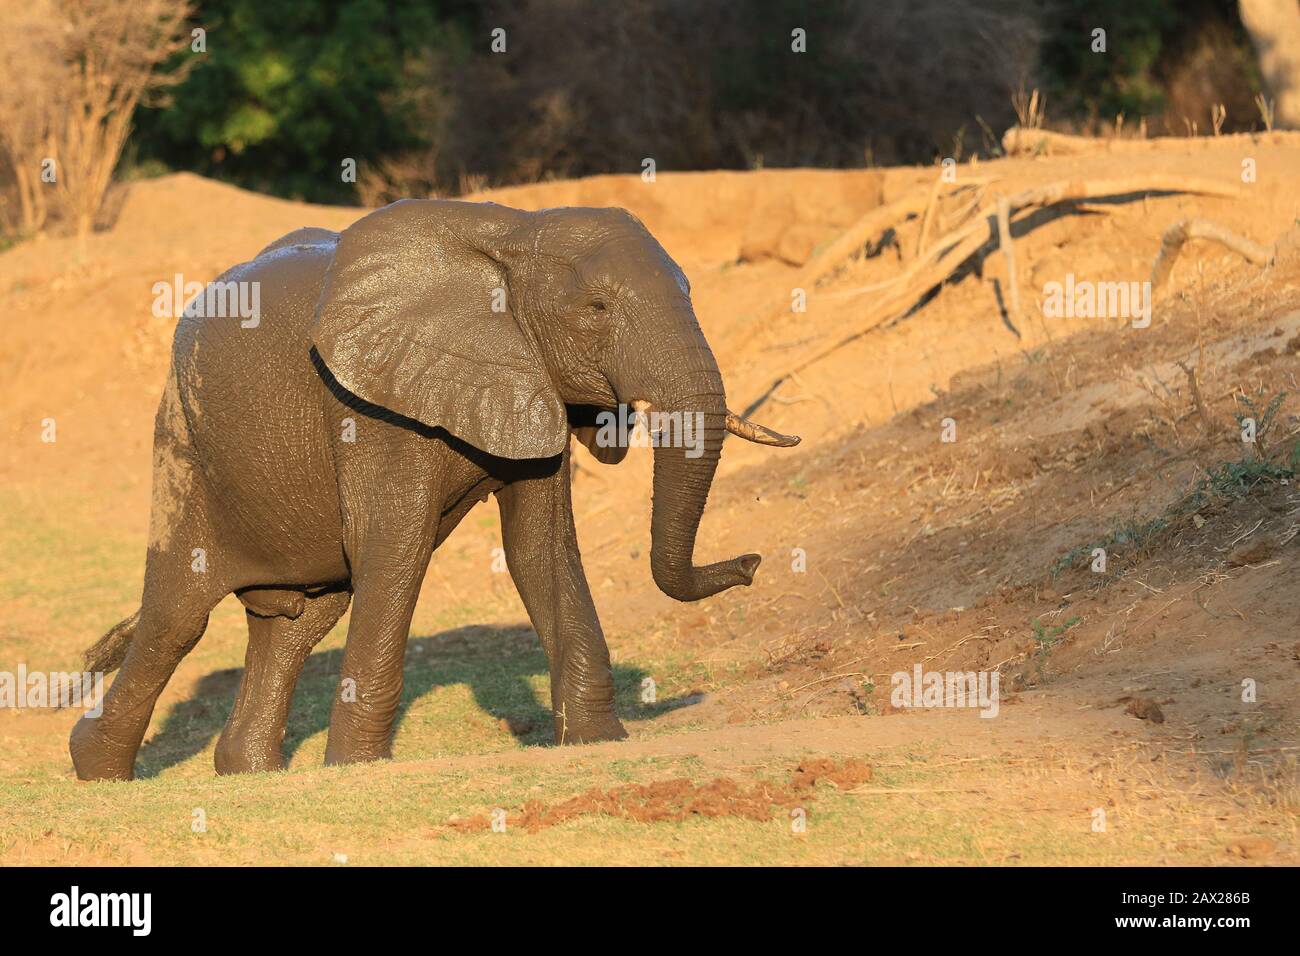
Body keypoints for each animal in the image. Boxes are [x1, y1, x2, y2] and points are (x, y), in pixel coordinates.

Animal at [71, 197, 800, 780]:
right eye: (595, 310)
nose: (752, 563)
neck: (516, 235)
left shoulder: (530, 380)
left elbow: (539, 551)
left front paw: (597, 742)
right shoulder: (374, 406)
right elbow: (393, 548)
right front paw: (357, 770)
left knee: (297, 623)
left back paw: (246, 773)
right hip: (182, 443)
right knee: (178, 616)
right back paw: (96, 769)